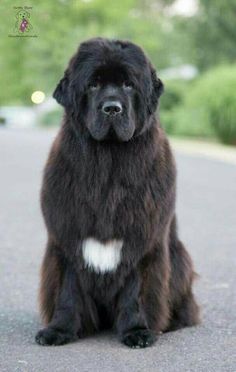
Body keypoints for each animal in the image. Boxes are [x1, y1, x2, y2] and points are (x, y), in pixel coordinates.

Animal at [35, 37, 199, 348]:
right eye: (93, 85)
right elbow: (67, 289)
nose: (112, 108)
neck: (108, 164)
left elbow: (137, 289)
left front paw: (137, 331)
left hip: (180, 257)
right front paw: (58, 330)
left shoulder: (142, 240)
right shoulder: (67, 238)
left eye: (128, 85)